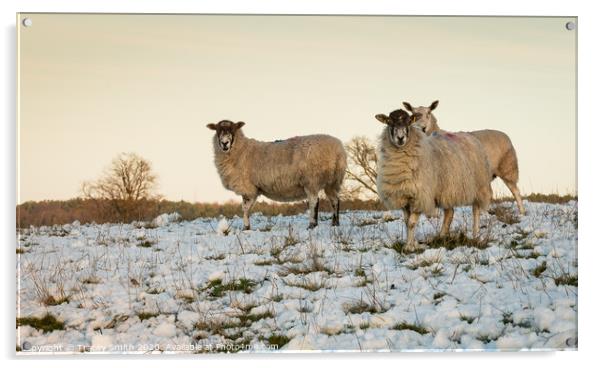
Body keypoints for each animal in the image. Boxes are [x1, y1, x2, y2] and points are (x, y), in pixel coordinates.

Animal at [207, 121, 344, 230]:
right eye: (217, 131)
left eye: (232, 130)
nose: (224, 143)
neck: (241, 150)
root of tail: (338, 150)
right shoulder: (252, 189)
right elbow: (247, 208)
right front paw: (247, 226)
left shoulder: (248, 188)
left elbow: (245, 208)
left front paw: (246, 227)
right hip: (332, 181)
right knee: (335, 200)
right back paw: (335, 223)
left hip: (312, 180)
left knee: (314, 201)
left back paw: (312, 225)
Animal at [376, 109, 492, 253]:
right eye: (389, 122)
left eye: (409, 122)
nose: (400, 138)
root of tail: (469, 136)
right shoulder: (404, 197)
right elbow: (407, 222)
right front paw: (412, 244)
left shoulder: (421, 196)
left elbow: (411, 223)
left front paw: (409, 247)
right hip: (448, 189)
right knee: (449, 213)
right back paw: (441, 237)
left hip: (478, 186)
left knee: (475, 211)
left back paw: (475, 236)